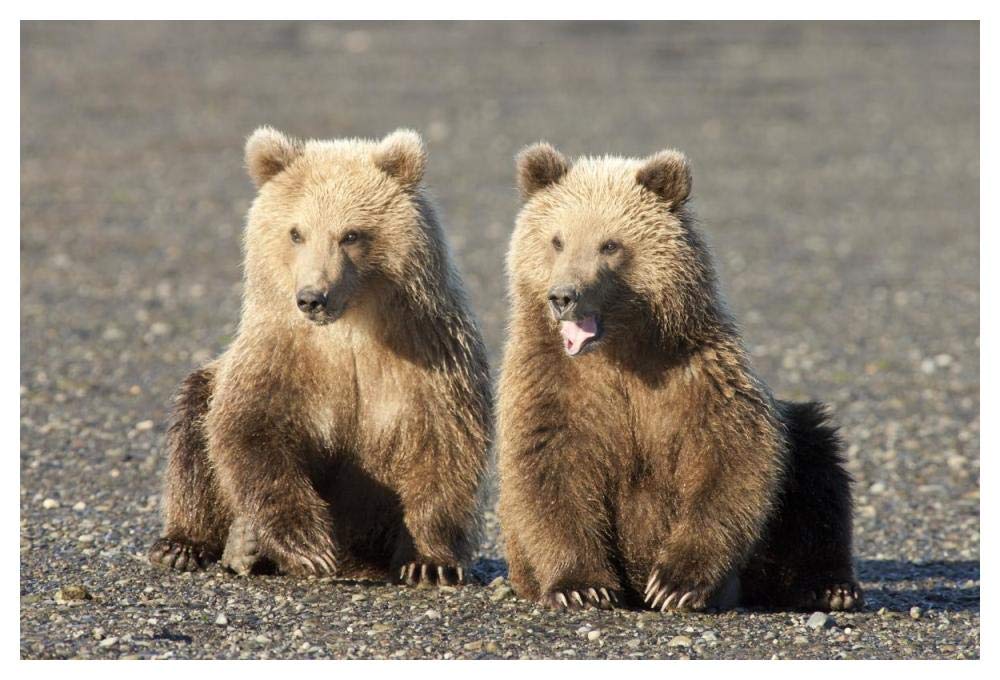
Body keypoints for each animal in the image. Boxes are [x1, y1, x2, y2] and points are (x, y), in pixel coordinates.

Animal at [148, 127, 492, 586]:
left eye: (351, 234)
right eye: (296, 232)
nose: (312, 297)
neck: (351, 327)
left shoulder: (430, 350)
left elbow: (444, 443)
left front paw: (429, 562)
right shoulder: (282, 352)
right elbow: (251, 429)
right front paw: (307, 545)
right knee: (193, 428)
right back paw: (198, 545)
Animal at [497, 143, 862, 612]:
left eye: (610, 244)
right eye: (556, 240)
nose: (563, 295)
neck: (621, 351)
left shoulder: (697, 373)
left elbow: (731, 457)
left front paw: (674, 583)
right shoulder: (552, 382)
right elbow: (548, 469)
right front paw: (582, 586)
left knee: (817, 467)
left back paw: (829, 587)